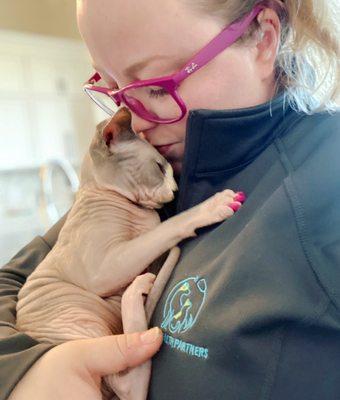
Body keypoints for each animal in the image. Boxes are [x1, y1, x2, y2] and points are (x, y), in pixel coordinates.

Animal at [15, 107, 244, 400]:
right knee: (129, 385)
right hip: (78, 320)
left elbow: (157, 233)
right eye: (159, 167)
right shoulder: (105, 267)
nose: (175, 191)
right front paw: (212, 206)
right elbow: (166, 228)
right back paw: (137, 292)